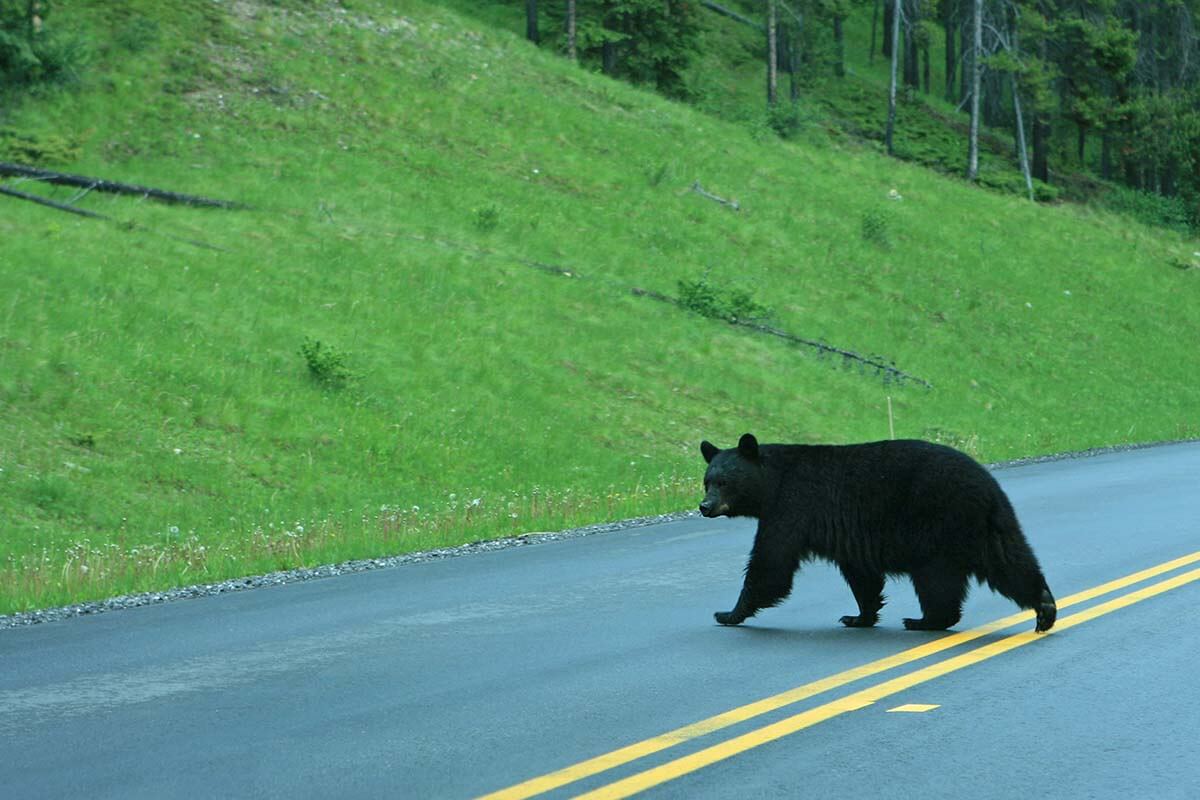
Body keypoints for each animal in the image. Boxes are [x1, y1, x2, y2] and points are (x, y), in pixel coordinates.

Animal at [699, 433, 1056, 633]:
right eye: (707, 480)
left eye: (724, 482)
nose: (705, 506)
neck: (772, 482)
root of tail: (986, 485)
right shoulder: (848, 535)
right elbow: (862, 576)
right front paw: (859, 616)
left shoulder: (791, 507)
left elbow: (771, 565)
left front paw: (728, 613)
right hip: (991, 527)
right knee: (1011, 561)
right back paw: (1045, 606)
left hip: (934, 527)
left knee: (937, 580)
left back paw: (924, 621)